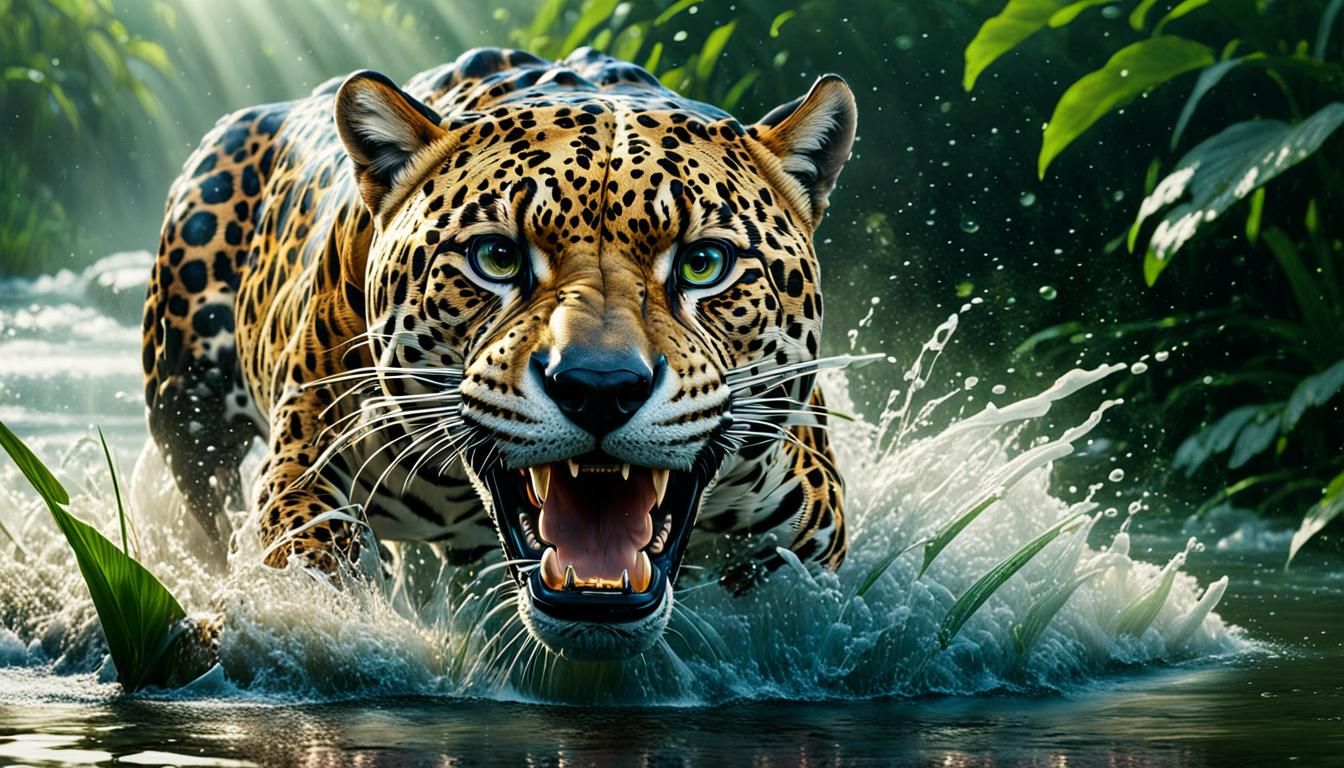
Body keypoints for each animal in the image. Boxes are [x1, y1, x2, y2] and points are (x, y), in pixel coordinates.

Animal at [141, 47, 857, 661]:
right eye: (497, 257)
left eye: (704, 263)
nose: (600, 387)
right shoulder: (309, 453)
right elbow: (306, 559)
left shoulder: (808, 523)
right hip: (188, 415)